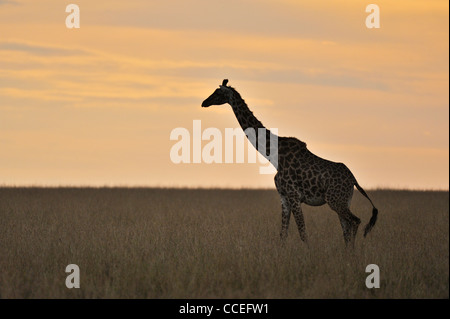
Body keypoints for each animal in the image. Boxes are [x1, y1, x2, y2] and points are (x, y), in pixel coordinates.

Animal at [202, 79, 378, 248]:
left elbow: (302, 232)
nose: (204, 102)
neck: (274, 155)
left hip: (335, 200)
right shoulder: (284, 197)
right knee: (346, 228)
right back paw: (348, 252)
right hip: (343, 200)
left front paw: (309, 253)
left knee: (355, 222)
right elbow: (283, 234)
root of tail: (353, 179)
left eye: (217, 93)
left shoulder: (294, 196)